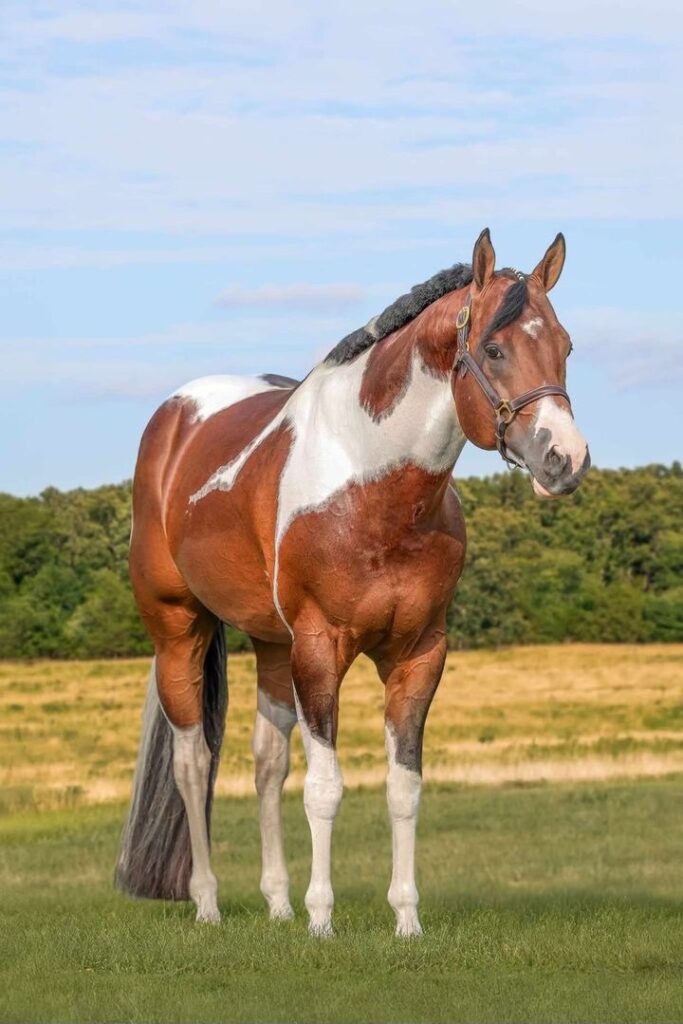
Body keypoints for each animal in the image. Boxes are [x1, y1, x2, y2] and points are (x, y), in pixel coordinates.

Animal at [114, 230, 589, 937]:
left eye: (565, 345)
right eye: (494, 349)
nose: (565, 458)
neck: (372, 485)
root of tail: (172, 420)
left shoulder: (418, 654)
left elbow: (403, 787)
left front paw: (405, 920)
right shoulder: (320, 647)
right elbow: (326, 788)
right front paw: (321, 921)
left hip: (272, 646)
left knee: (267, 762)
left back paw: (277, 904)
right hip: (179, 631)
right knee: (193, 764)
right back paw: (208, 904)